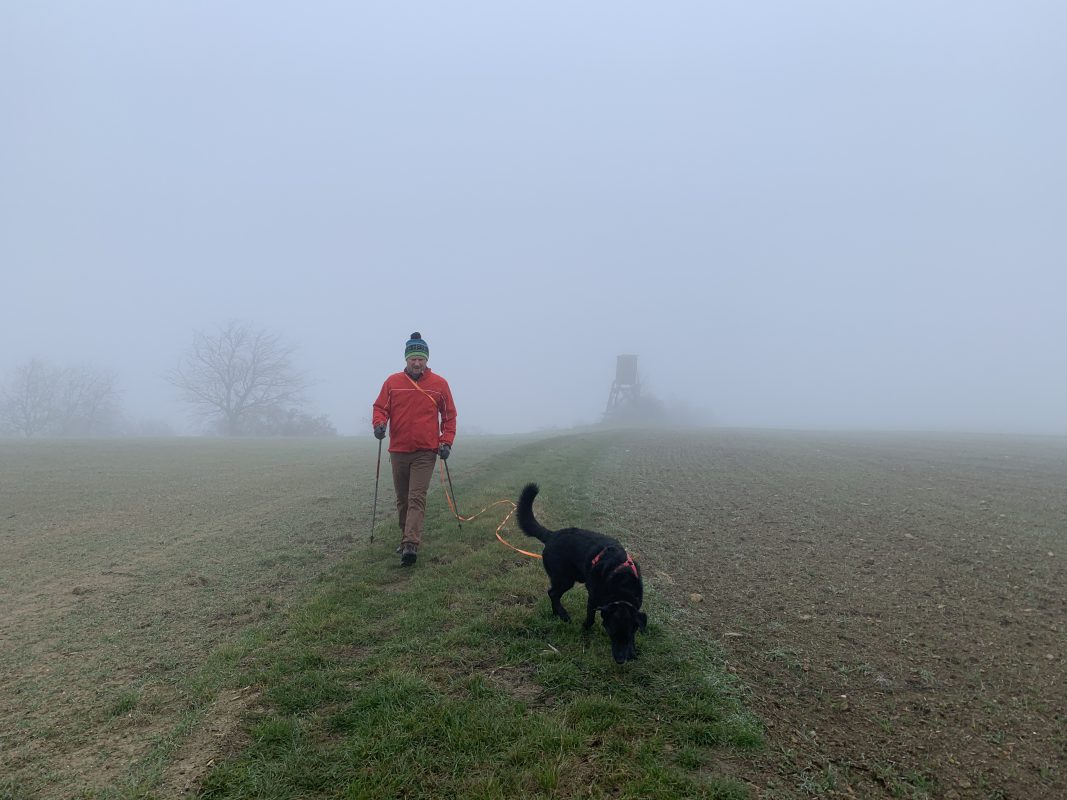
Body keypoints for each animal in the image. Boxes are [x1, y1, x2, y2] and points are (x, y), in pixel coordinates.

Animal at [516, 482, 648, 665]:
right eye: (611, 633)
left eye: (629, 634)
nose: (621, 660)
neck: (623, 584)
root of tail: (552, 535)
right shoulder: (593, 598)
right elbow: (591, 618)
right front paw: (584, 629)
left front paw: (633, 651)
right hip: (565, 578)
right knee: (553, 593)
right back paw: (563, 615)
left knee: (552, 593)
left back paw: (556, 614)